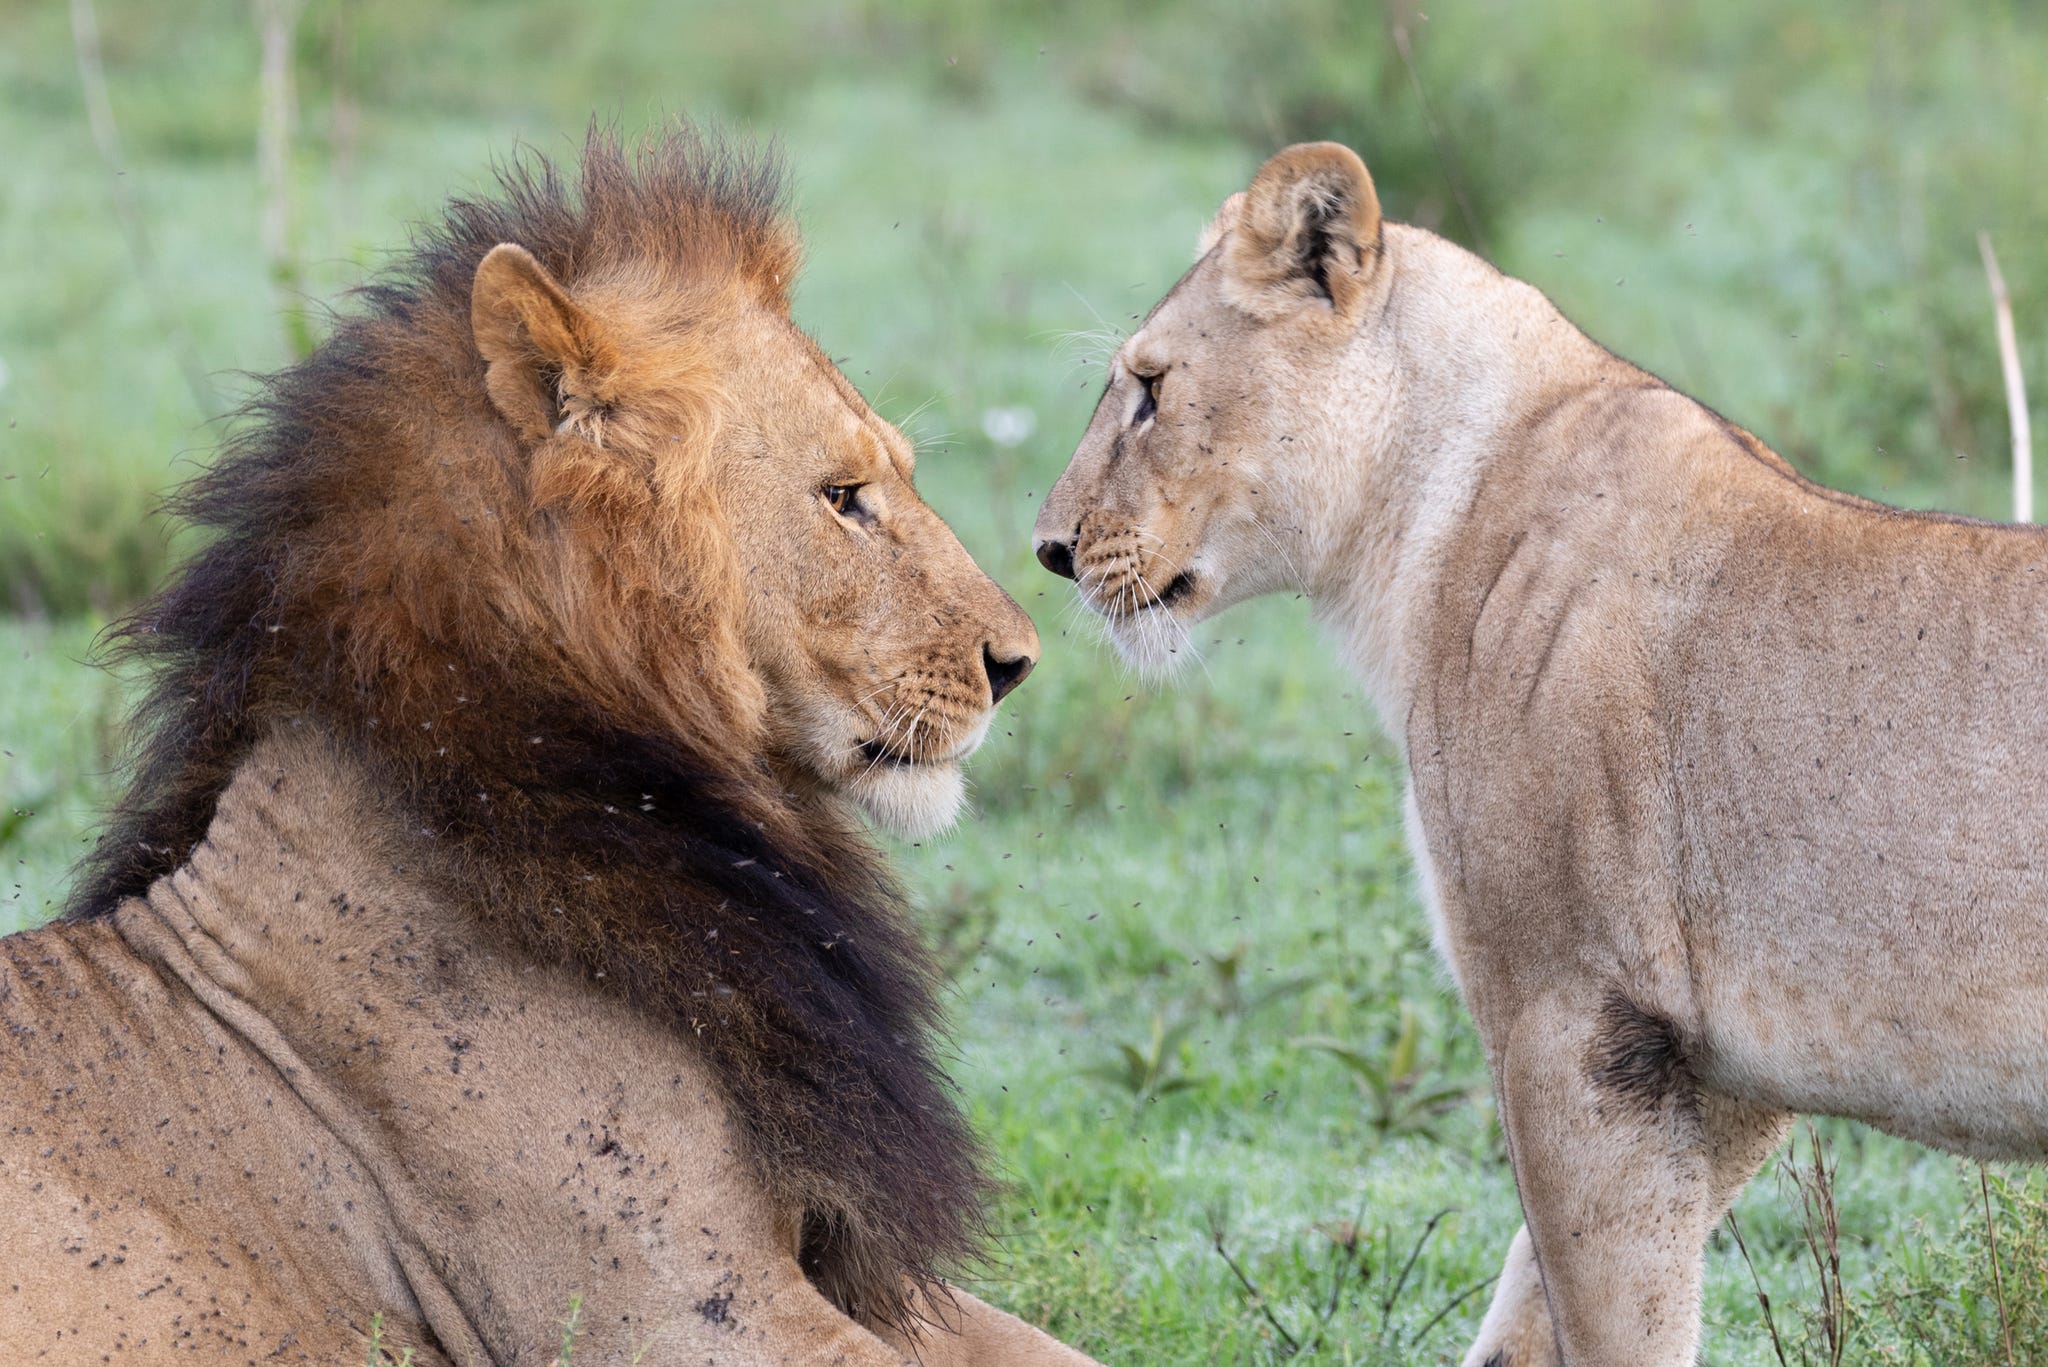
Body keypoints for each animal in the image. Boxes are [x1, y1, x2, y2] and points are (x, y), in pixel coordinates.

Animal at [1032, 141, 2048, 1367]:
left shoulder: (1577, 1023)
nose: (1047, 546)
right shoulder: (1722, 1080)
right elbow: (1523, 1321)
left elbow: (1607, 1324)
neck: (1423, 514)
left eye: (1148, 387)